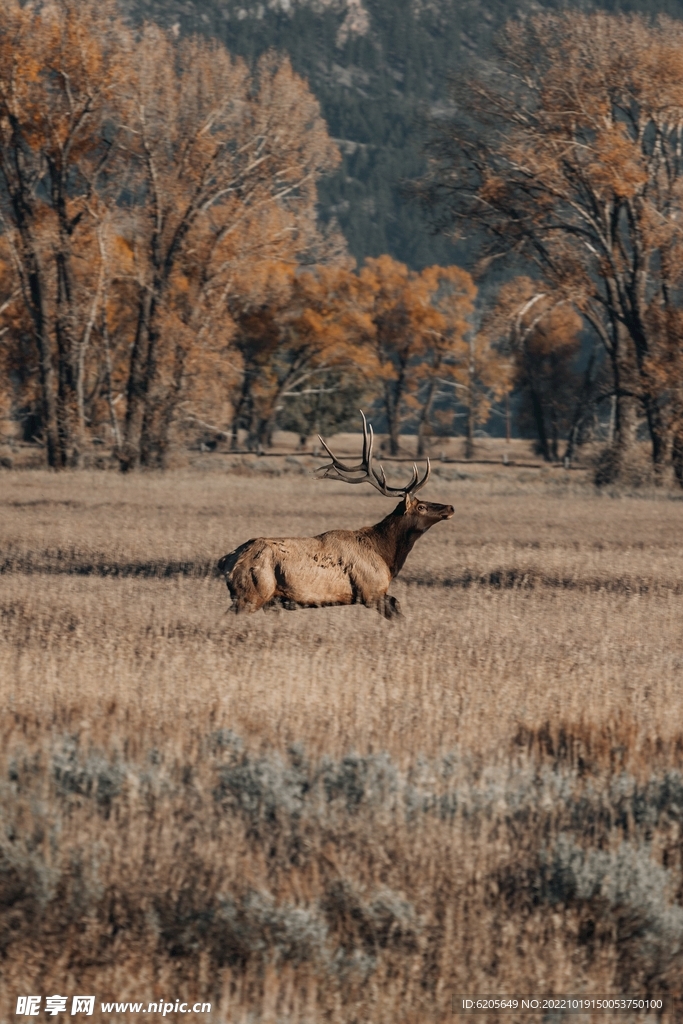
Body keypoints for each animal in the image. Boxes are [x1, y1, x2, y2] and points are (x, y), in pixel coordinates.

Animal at [219, 411, 454, 618]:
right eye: (421, 507)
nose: (450, 507)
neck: (385, 555)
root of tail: (227, 561)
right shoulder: (371, 592)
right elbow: (397, 610)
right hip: (252, 593)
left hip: (267, 599)